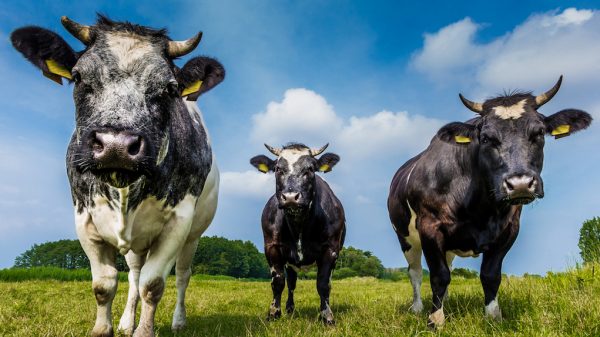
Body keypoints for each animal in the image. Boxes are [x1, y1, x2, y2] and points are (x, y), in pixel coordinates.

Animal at [11, 16, 227, 336]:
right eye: (78, 77)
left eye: (170, 88)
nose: (116, 146)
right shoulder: (84, 217)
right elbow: (105, 285)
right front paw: (106, 328)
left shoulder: (178, 222)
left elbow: (154, 284)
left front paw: (145, 331)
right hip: (137, 244)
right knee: (134, 275)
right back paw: (127, 321)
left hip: (193, 235)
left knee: (181, 276)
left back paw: (178, 321)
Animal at [248, 142, 344, 322]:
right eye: (278, 169)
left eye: (310, 169)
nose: (291, 197)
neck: (299, 225)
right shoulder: (272, 248)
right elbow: (278, 283)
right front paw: (274, 313)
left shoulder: (331, 249)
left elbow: (323, 284)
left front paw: (327, 316)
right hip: (291, 262)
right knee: (291, 284)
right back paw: (289, 308)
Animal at [390, 77, 592, 328]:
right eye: (485, 138)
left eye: (539, 133)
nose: (520, 183)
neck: (479, 208)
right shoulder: (429, 226)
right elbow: (438, 275)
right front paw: (435, 320)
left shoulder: (509, 229)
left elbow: (490, 274)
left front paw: (494, 316)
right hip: (406, 238)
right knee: (415, 272)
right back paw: (418, 307)